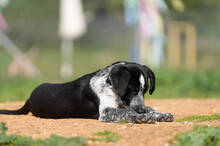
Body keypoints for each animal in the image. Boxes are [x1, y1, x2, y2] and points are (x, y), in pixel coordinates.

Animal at [0, 61, 174, 123]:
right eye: (131, 90)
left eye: (144, 91)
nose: (140, 109)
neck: (109, 84)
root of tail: (29, 98)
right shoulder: (106, 112)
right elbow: (127, 113)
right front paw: (141, 117)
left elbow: (150, 108)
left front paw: (159, 114)